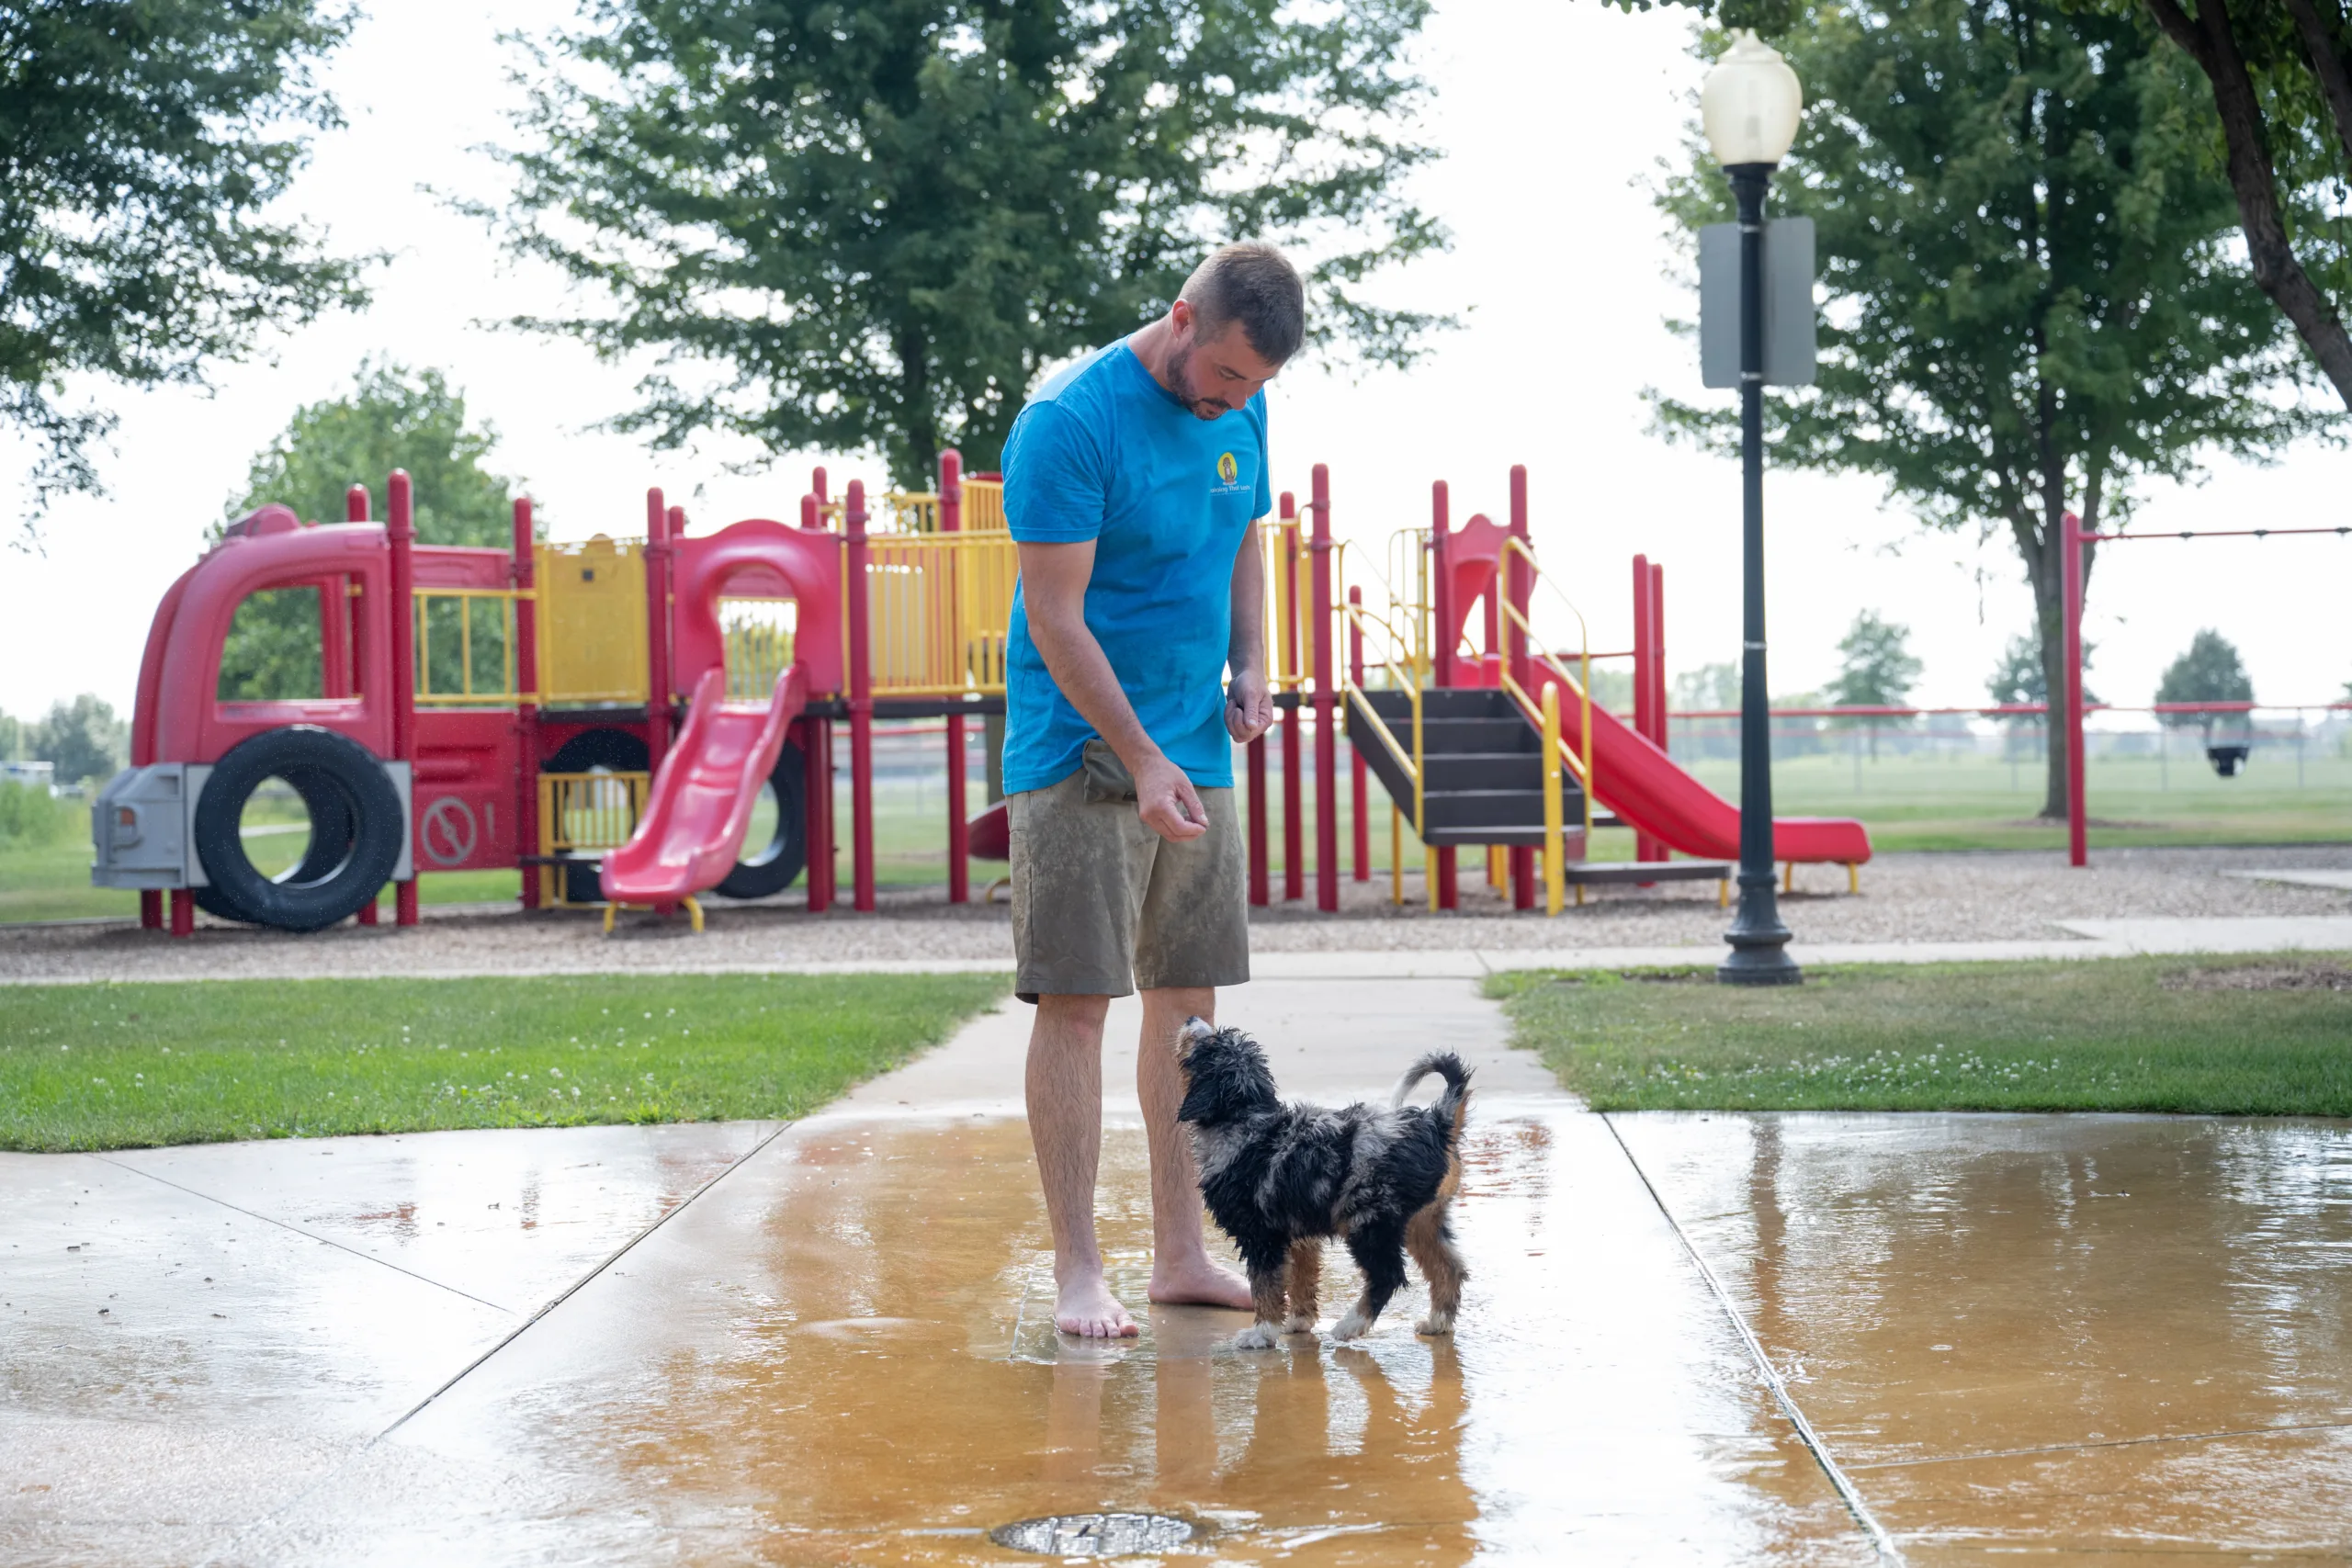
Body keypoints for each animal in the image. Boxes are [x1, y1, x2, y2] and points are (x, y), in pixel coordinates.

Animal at [1176, 1020, 1467, 1354]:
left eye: (1206, 1046)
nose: (1191, 1020)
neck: (1245, 1122)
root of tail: (1437, 1123)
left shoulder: (1261, 1235)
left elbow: (1265, 1286)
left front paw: (1262, 1333)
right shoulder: (1299, 1230)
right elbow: (1302, 1278)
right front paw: (1298, 1322)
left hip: (1367, 1215)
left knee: (1387, 1275)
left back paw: (1350, 1325)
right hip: (1423, 1219)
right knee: (1449, 1267)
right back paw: (1437, 1322)